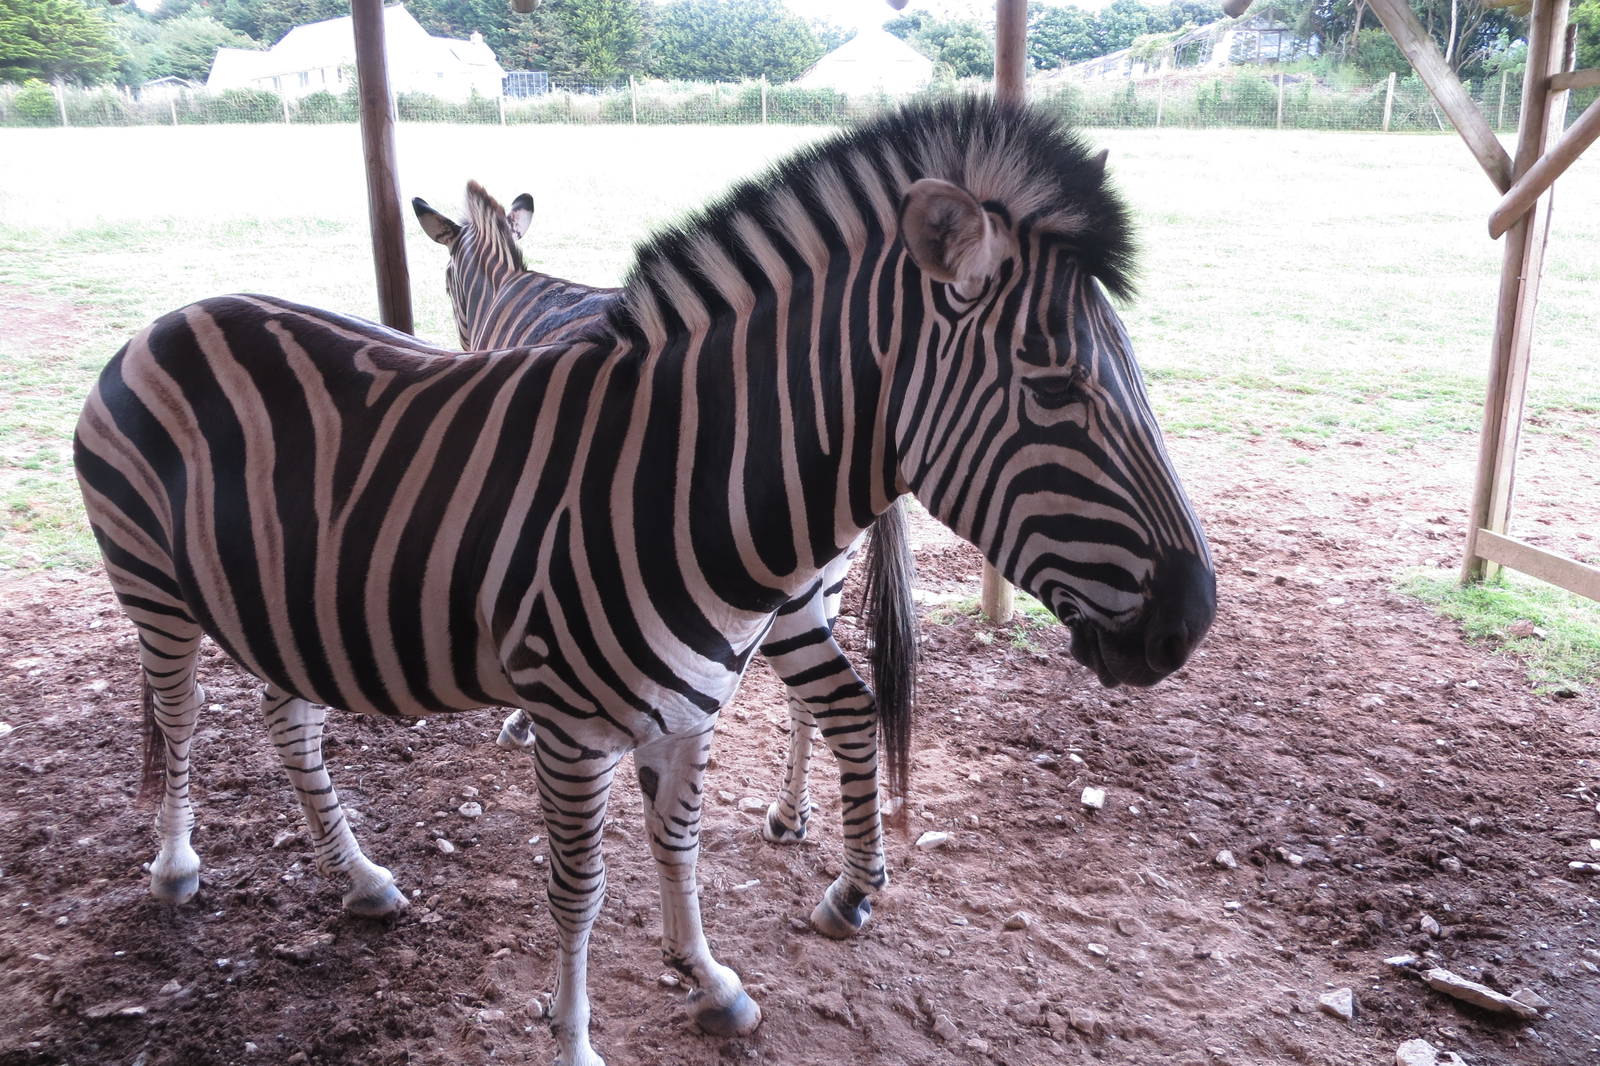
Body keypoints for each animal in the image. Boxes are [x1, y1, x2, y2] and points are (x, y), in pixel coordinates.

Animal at [410, 180, 919, 898]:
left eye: (445, 278)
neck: (506, 286)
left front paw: (520, 720)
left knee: (827, 694)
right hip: (828, 572)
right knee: (806, 698)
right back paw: (790, 814)